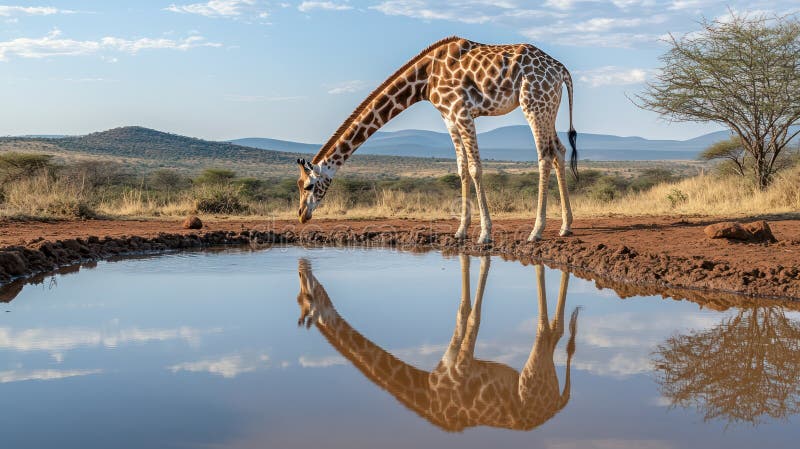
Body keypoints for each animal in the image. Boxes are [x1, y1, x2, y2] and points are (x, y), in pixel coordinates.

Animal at [295, 256, 580, 432]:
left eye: (306, 297)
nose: (302, 268)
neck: (429, 391)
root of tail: (555, 405)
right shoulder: (451, 354)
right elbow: (462, 315)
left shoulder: (462, 366)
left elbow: (473, 318)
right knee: (555, 333)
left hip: (531, 376)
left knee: (545, 332)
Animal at [296, 36, 578, 243]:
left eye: (308, 186)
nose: (301, 215)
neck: (425, 78)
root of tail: (561, 70)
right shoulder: (449, 118)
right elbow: (462, 170)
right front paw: (461, 231)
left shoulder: (462, 112)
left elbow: (475, 169)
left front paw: (485, 234)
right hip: (548, 106)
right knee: (560, 150)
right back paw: (565, 226)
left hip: (533, 103)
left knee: (544, 155)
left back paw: (536, 231)